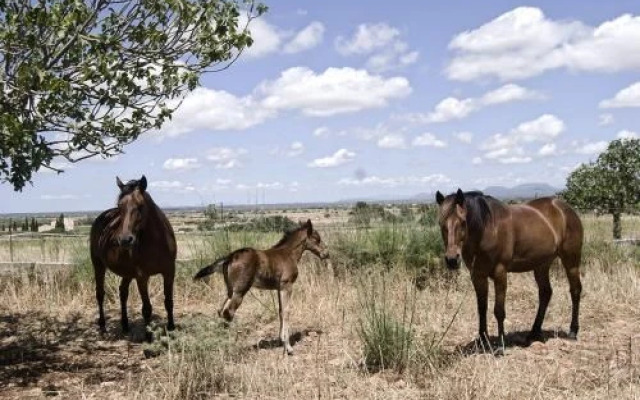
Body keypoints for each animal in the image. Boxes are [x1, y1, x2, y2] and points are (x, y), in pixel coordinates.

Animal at [89, 176, 176, 338]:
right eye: (119, 206)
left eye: (140, 205)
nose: (125, 240)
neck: (157, 241)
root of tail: (101, 217)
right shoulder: (142, 276)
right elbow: (147, 308)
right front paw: (149, 337)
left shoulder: (169, 272)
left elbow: (169, 301)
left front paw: (172, 328)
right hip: (98, 265)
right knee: (100, 294)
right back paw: (103, 326)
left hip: (127, 272)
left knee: (123, 292)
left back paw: (125, 325)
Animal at [192, 220, 328, 354]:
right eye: (317, 239)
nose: (326, 254)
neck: (288, 254)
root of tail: (229, 258)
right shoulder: (287, 286)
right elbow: (286, 311)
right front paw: (288, 346)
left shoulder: (279, 288)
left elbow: (280, 311)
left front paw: (281, 341)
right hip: (240, 290)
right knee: (228, 312)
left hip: (230, 290)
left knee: (221, 311)